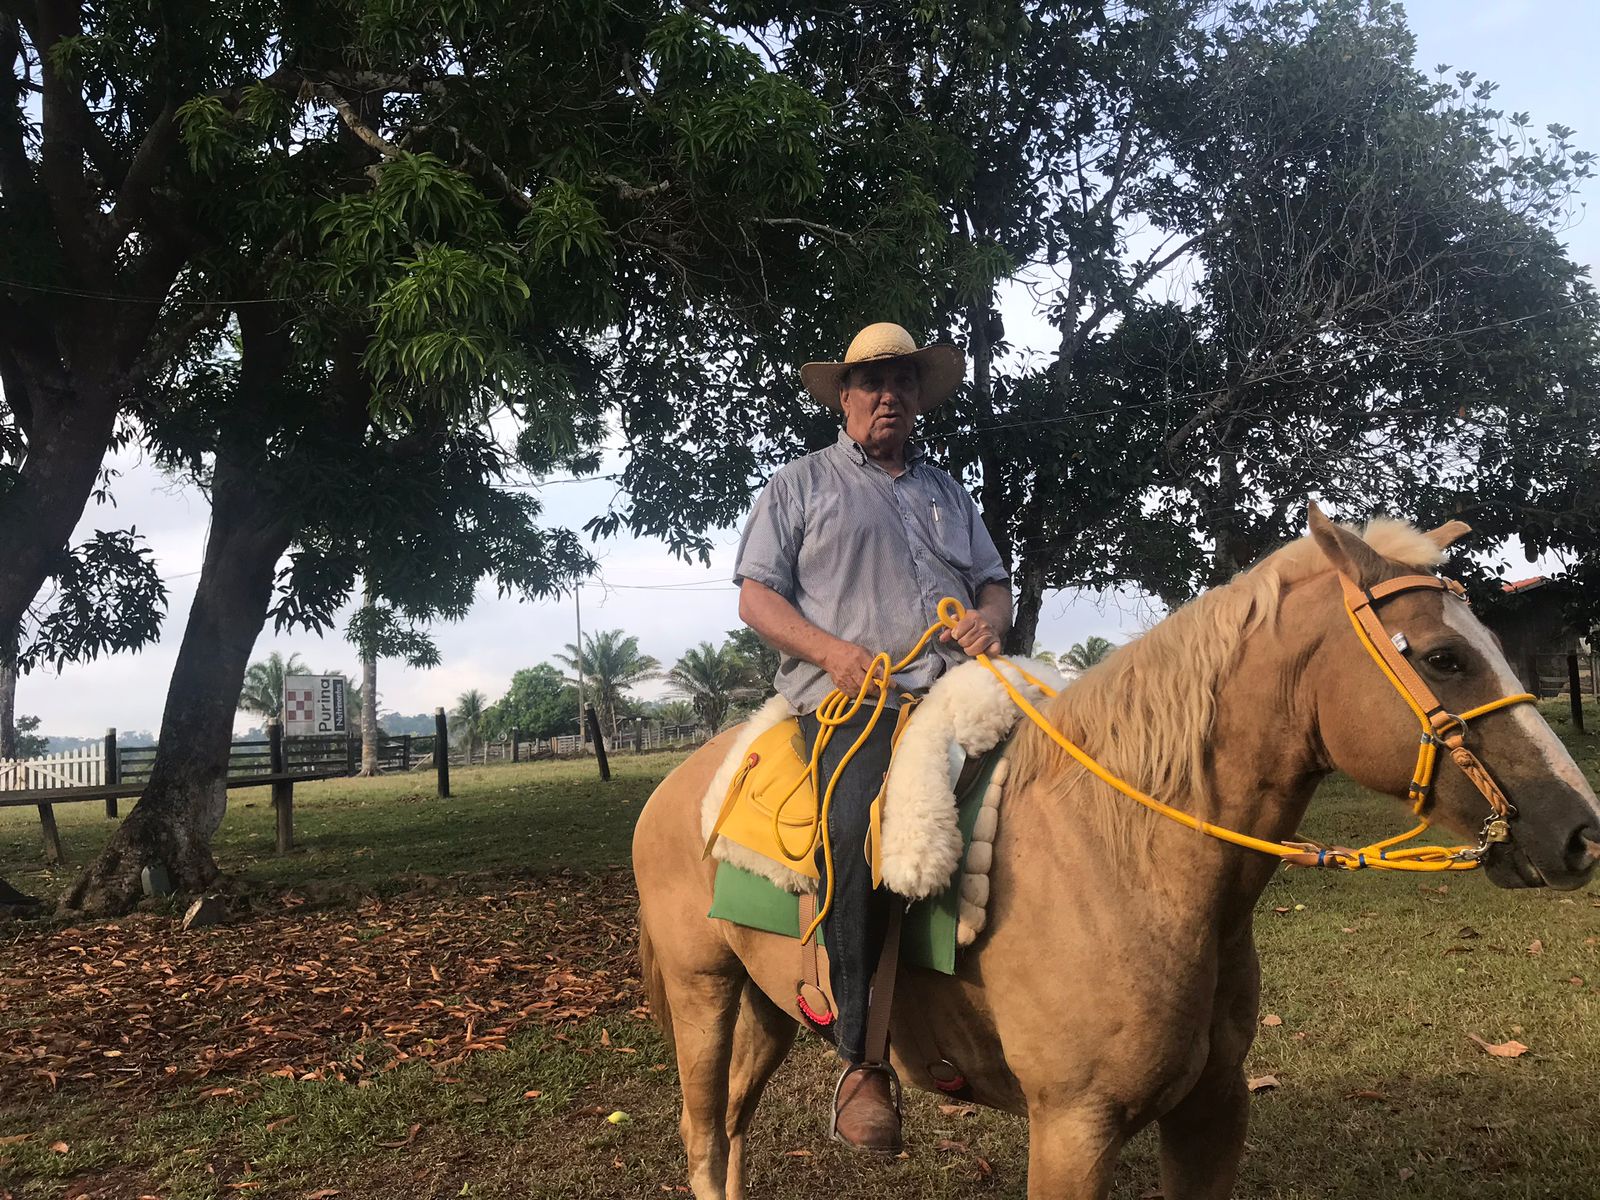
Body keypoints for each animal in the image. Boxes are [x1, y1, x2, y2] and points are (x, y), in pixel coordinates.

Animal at [627, 508, 1600, 1200]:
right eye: (1442, 658)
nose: (1580, 832)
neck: (1128, 857)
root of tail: (678, 788)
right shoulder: (1072, 1129)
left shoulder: (1214, 1110)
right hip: (703, 993)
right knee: (704, 1138)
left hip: (770, 1003)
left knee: (735, 1131)